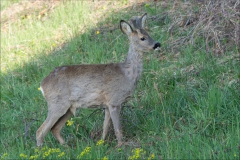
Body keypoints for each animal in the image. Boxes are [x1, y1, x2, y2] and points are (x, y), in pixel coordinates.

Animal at [36, 13, 160, 147]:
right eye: (142, 38)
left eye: (149, 33)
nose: (157, 44)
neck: (127, 74)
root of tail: (42, 85)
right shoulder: (114, 100)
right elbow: (117, 128)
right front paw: (121, 145)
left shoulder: (106, 105)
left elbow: (105, 127)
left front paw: (101, 143)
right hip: (57, 104)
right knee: (40, 131)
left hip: (68, 107)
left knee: (55, 128)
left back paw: (66, 147)